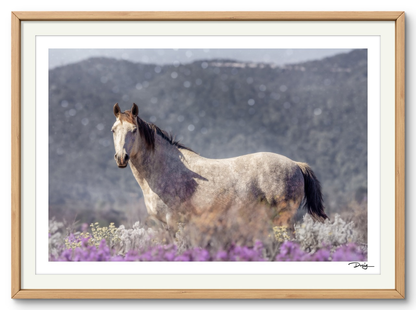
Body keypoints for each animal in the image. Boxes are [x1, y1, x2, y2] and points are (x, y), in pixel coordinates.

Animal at [112, 103, 326, 234]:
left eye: (134, 130)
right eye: (114, 130)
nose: (121, 158)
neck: (165, 169)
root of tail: (296, 165)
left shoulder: (173, 222)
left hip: (283, 219)